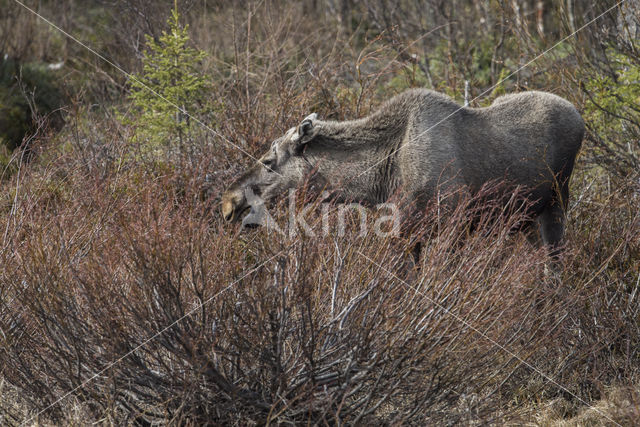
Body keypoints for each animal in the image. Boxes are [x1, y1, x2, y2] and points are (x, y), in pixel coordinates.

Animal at [221, 89, 584, 258]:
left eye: (269, 160)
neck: (378, 183)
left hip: (556, 203)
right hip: (524, 219)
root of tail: (580, 117)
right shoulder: (405, 231)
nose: (228, 201)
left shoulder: (450, 224)